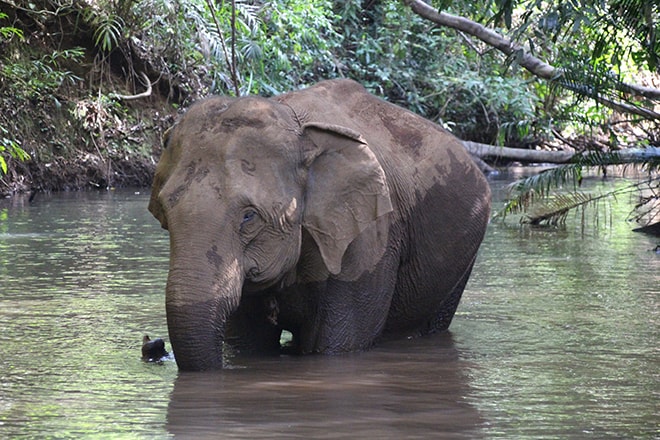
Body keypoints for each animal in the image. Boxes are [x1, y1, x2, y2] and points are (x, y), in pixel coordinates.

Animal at [148, 79, 490, 372]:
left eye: (249, 216)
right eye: (164, 210)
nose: (154, 344)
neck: (298, 129)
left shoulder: (370, 238)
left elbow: (334, 346)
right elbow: (250, 343)